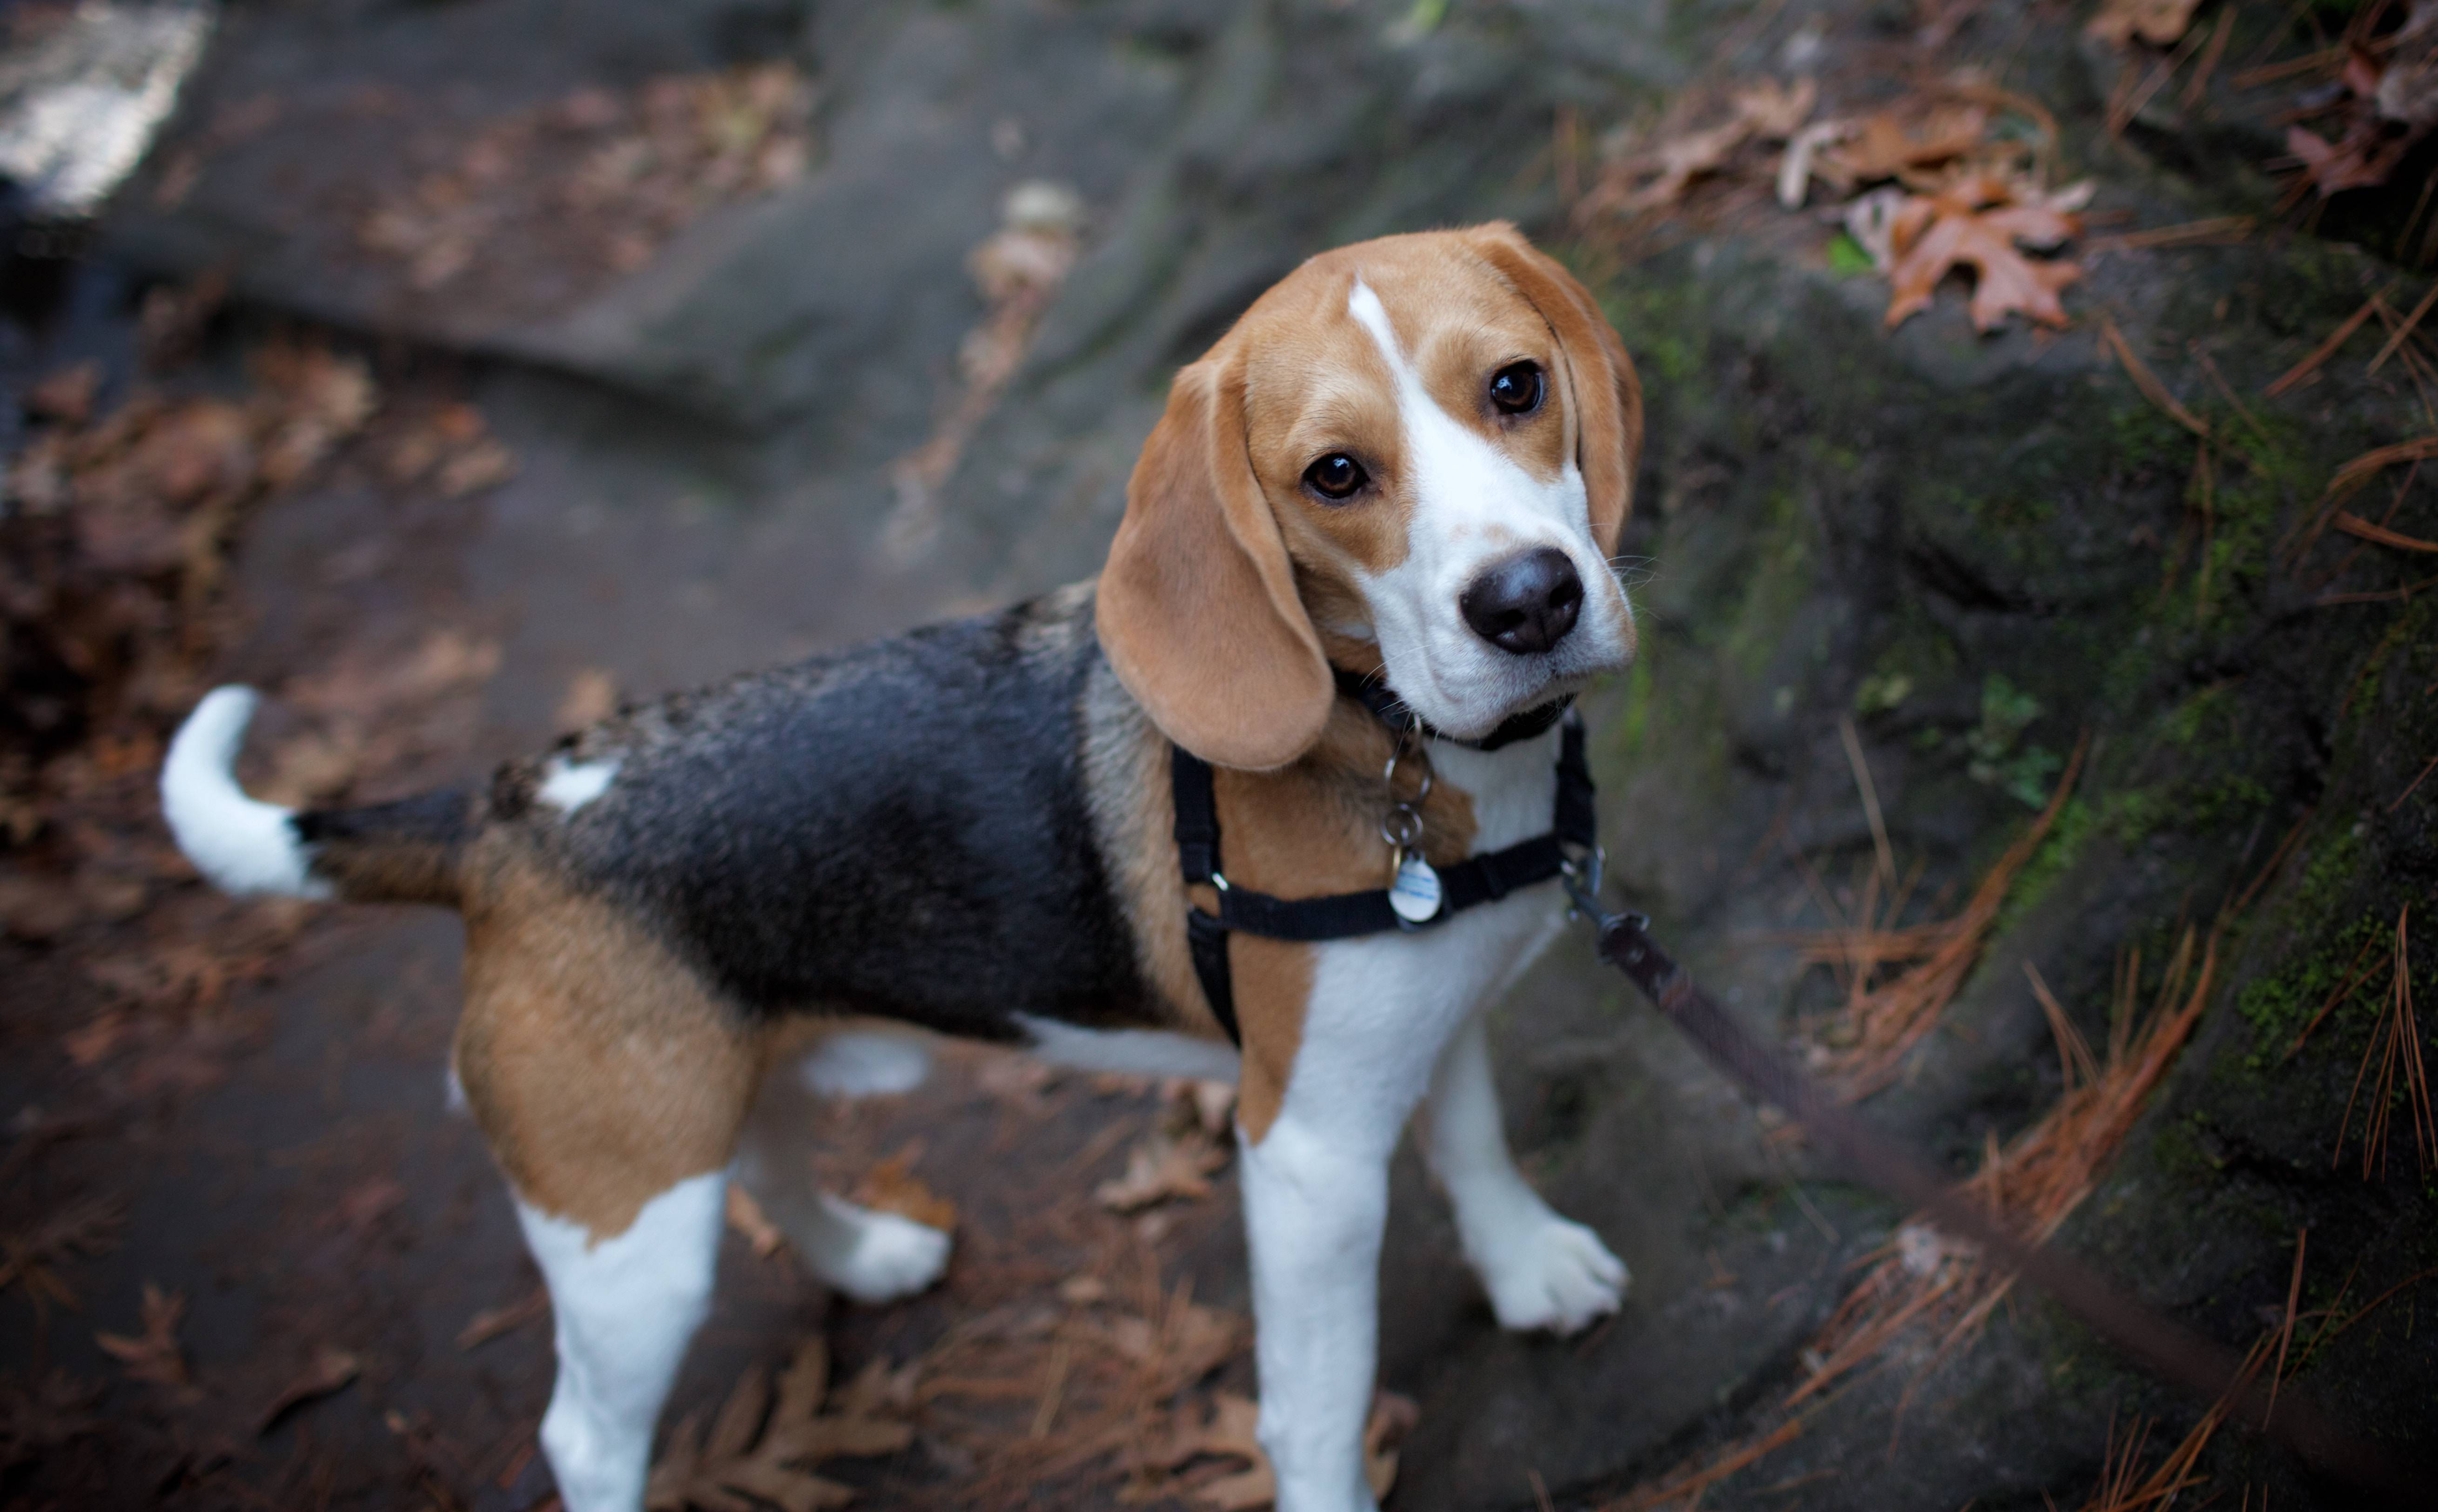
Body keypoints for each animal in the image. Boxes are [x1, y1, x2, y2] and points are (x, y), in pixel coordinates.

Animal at [162, 224, 1648, 1512]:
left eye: (1515, 386)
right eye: (1334, 475)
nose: (1528, 602)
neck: (1399, 740)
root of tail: (505, 810)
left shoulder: (1429, 1018)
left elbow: (1473, 1142)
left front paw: (1525, 1267)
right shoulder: (1308, 1154)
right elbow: (1322, 1404)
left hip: (715, 1087)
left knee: (766, 1164)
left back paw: (867, 1256)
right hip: (626, 1231)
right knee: (582, 1434)